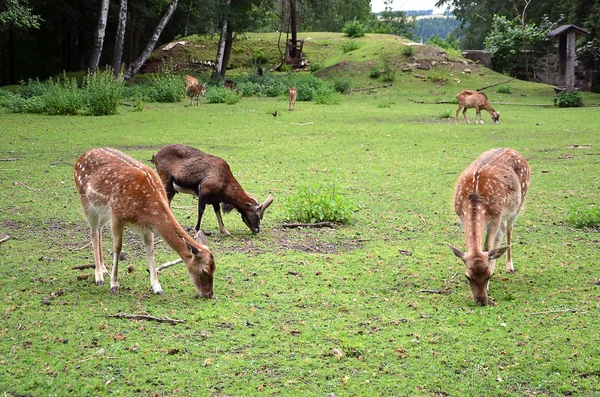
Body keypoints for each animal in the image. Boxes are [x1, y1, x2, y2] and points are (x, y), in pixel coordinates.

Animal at [74, 147, 216, 296]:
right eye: (204, 271)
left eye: (215, 268)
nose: (209, 294)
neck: (145, 210)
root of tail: (80, 158)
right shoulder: (117, 215)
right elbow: (117, 248)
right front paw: (114, 285)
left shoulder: (147, 227)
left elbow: (150, 250)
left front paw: (157, 287)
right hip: (86, 201)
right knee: (93, 233)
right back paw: (99, 277)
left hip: (102, 210)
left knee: (99, 230)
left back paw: (104, 270)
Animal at [448, 148, 532, 306]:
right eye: (468, 276)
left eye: (489, 275)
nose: (481, 301)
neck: (474, 199)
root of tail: (512, 150)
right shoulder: (461, 215)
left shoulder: (496, 216)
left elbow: (487, 246)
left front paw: (489, 284)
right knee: (502, 233)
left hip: (518, 204)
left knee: (509, 230)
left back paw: (510, 266)